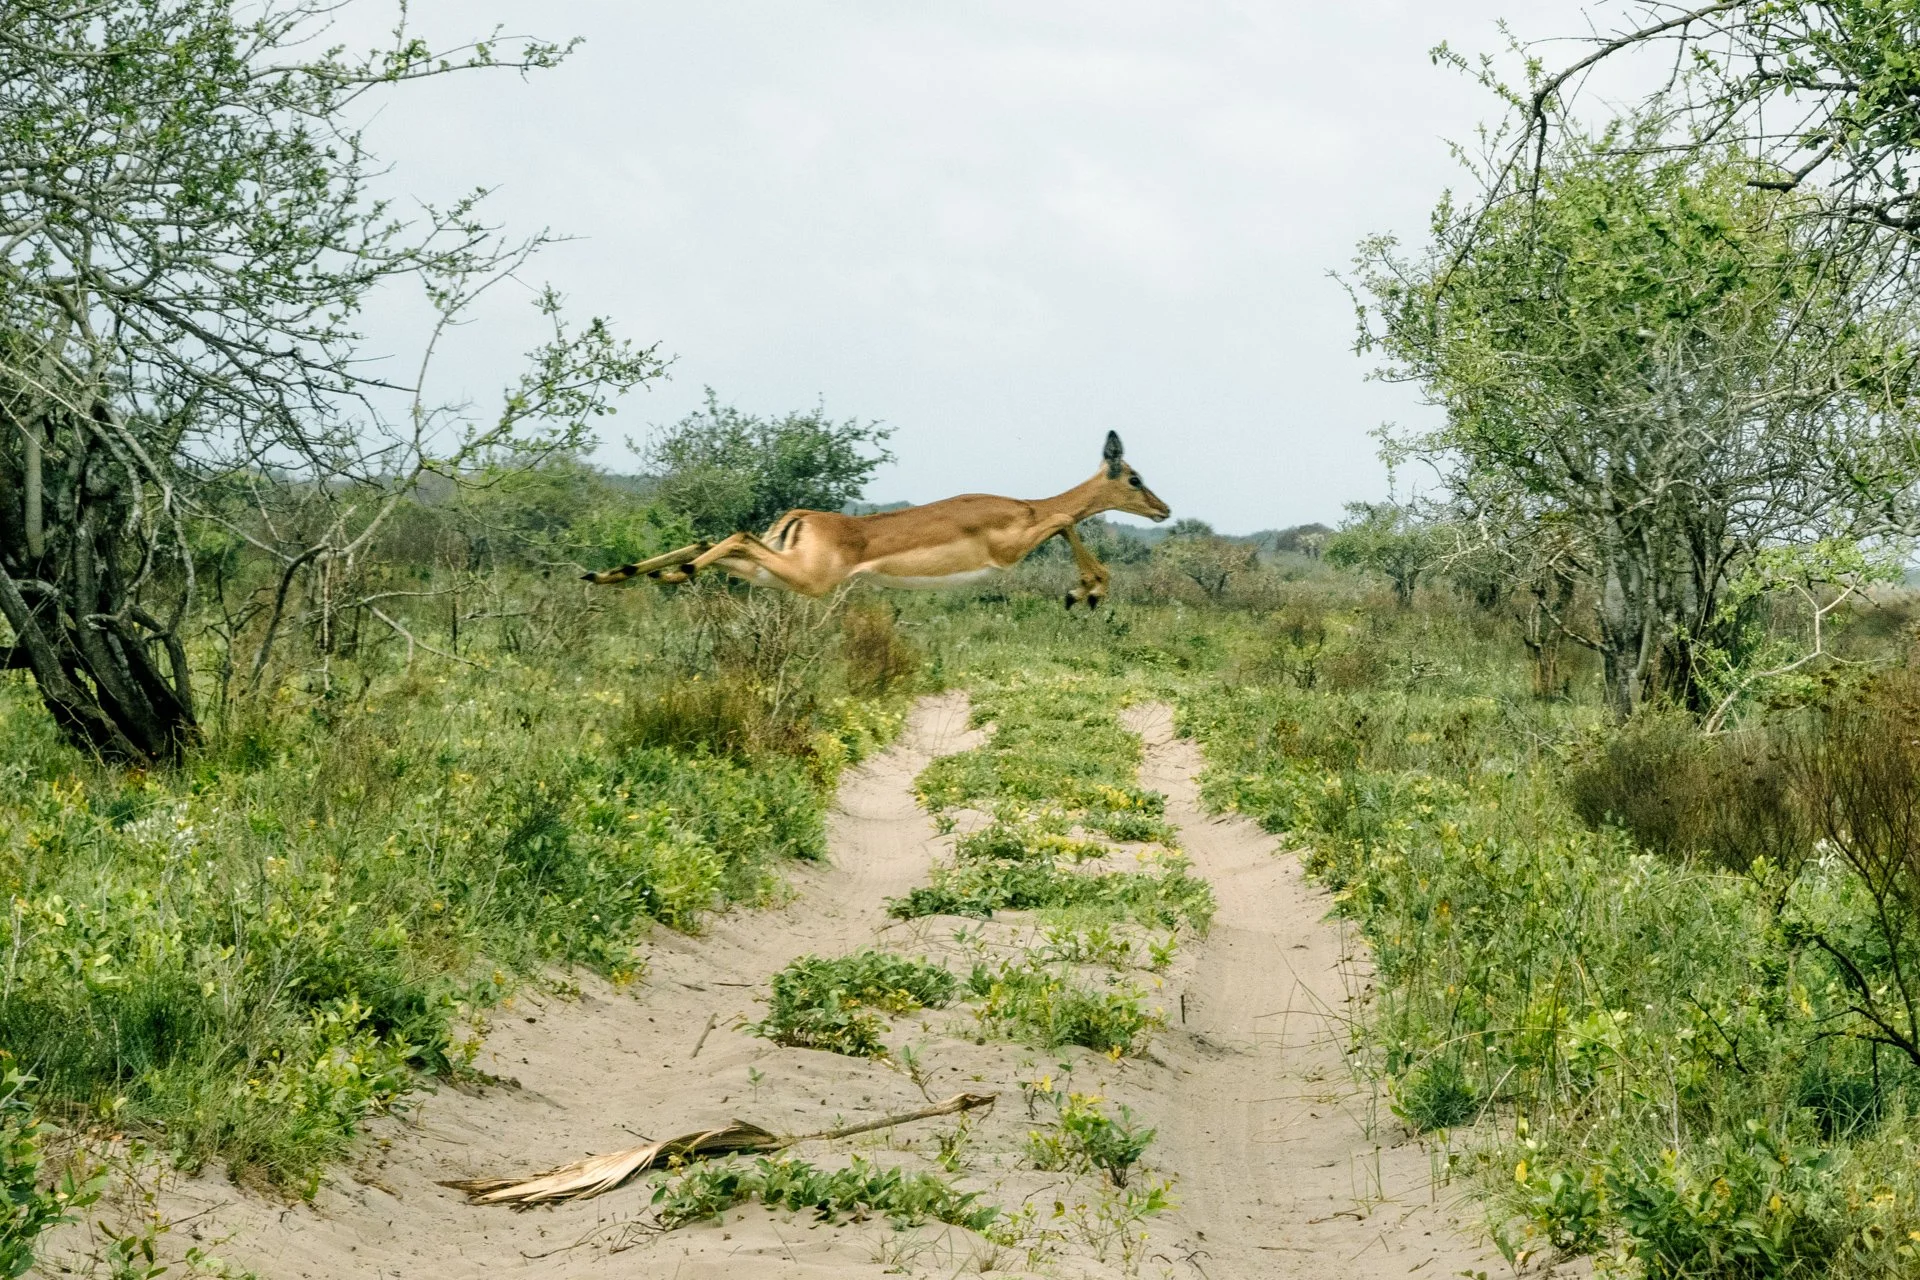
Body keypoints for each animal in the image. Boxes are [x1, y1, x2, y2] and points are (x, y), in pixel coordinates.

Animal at [583, 431, 1170, 609]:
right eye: (1134, 477)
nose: (1164, 510)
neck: (1026, 505)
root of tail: (803, 515)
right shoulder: (1011, 549)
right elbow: (1068, 520)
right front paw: (1085, 592)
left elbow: (1068, 521)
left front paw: (1082, 593)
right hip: (805, 578)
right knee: (736, 535)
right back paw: (660, 573)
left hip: (779, 573)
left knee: (717, 542)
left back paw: (619, 573)